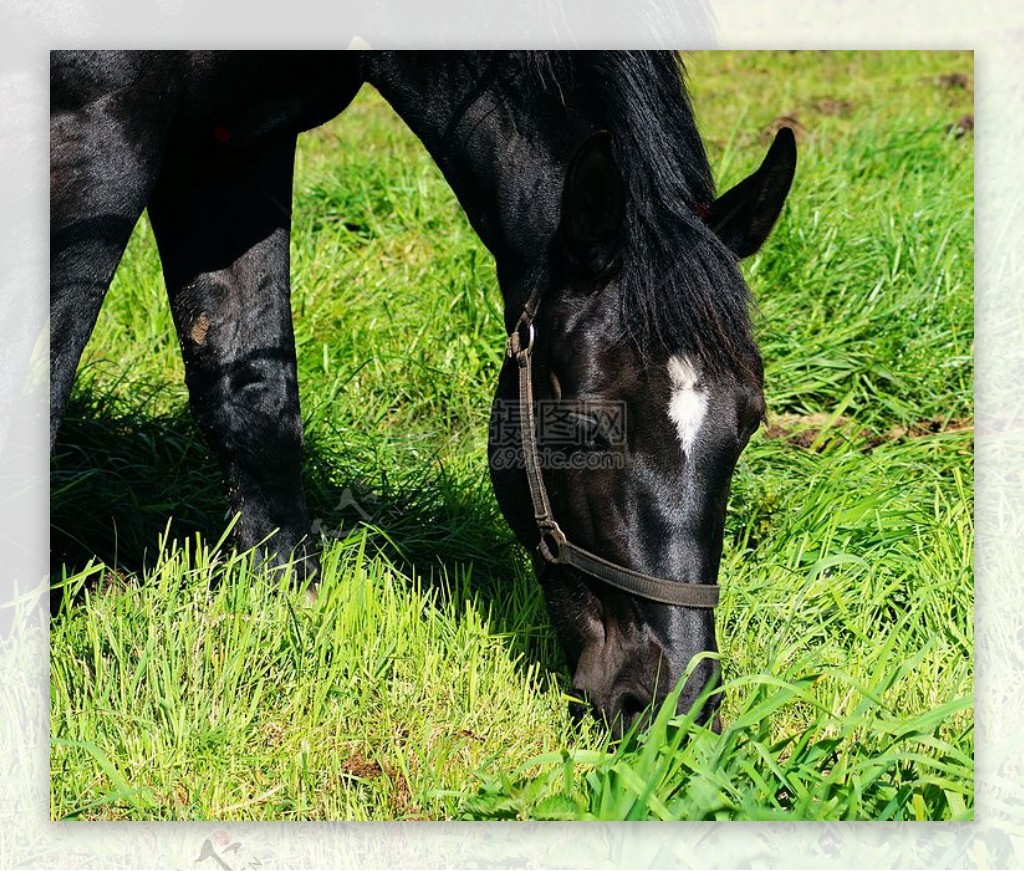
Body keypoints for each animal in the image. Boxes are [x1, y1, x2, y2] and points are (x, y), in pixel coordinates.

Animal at [51, 51, 794, 732]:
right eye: (587, 425)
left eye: (749, 420)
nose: (678, 707)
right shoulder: (96, 127)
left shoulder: (237, 141)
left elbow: (254, 404)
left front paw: (283, 617)